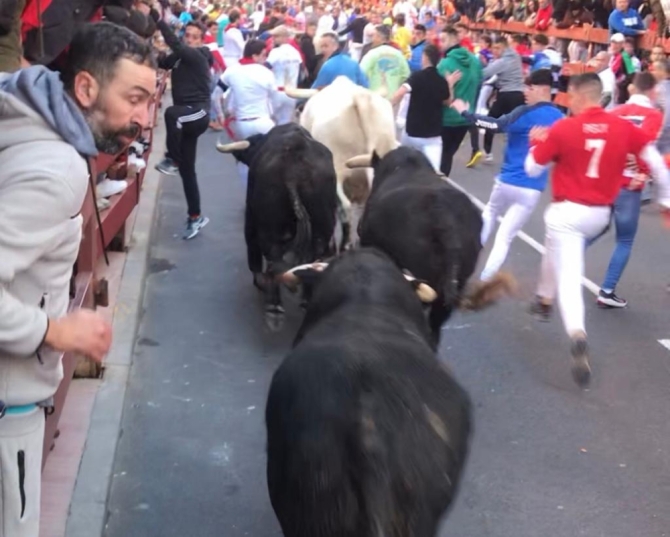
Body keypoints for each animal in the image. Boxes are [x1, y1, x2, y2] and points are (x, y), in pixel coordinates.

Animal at [218, 124, 338, 326]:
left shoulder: (251, 218)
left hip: (268, 228)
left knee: (273, 260)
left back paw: (274, 307)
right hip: (323, 227)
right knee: (313, 258)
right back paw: (306, 300)